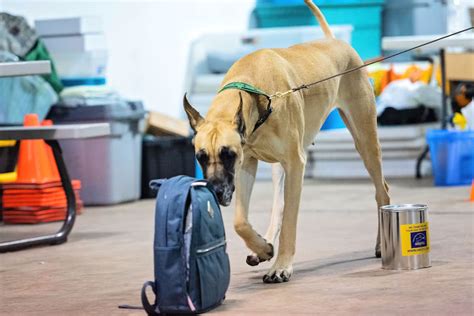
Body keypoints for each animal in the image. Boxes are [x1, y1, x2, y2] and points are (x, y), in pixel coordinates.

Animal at [183, 0, 390, 282]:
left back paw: (382, 244)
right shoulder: (247, 164)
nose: (214, 191)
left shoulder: (294, 163)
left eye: (227, 154)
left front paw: (281, 265)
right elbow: (240, 221)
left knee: (382, 190)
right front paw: (263, 248)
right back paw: (263, 245)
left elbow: (291, 220)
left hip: (365, 140)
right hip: (278, 166)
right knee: (278, 204)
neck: (255, 95)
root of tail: (334, 40)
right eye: (200, 157)